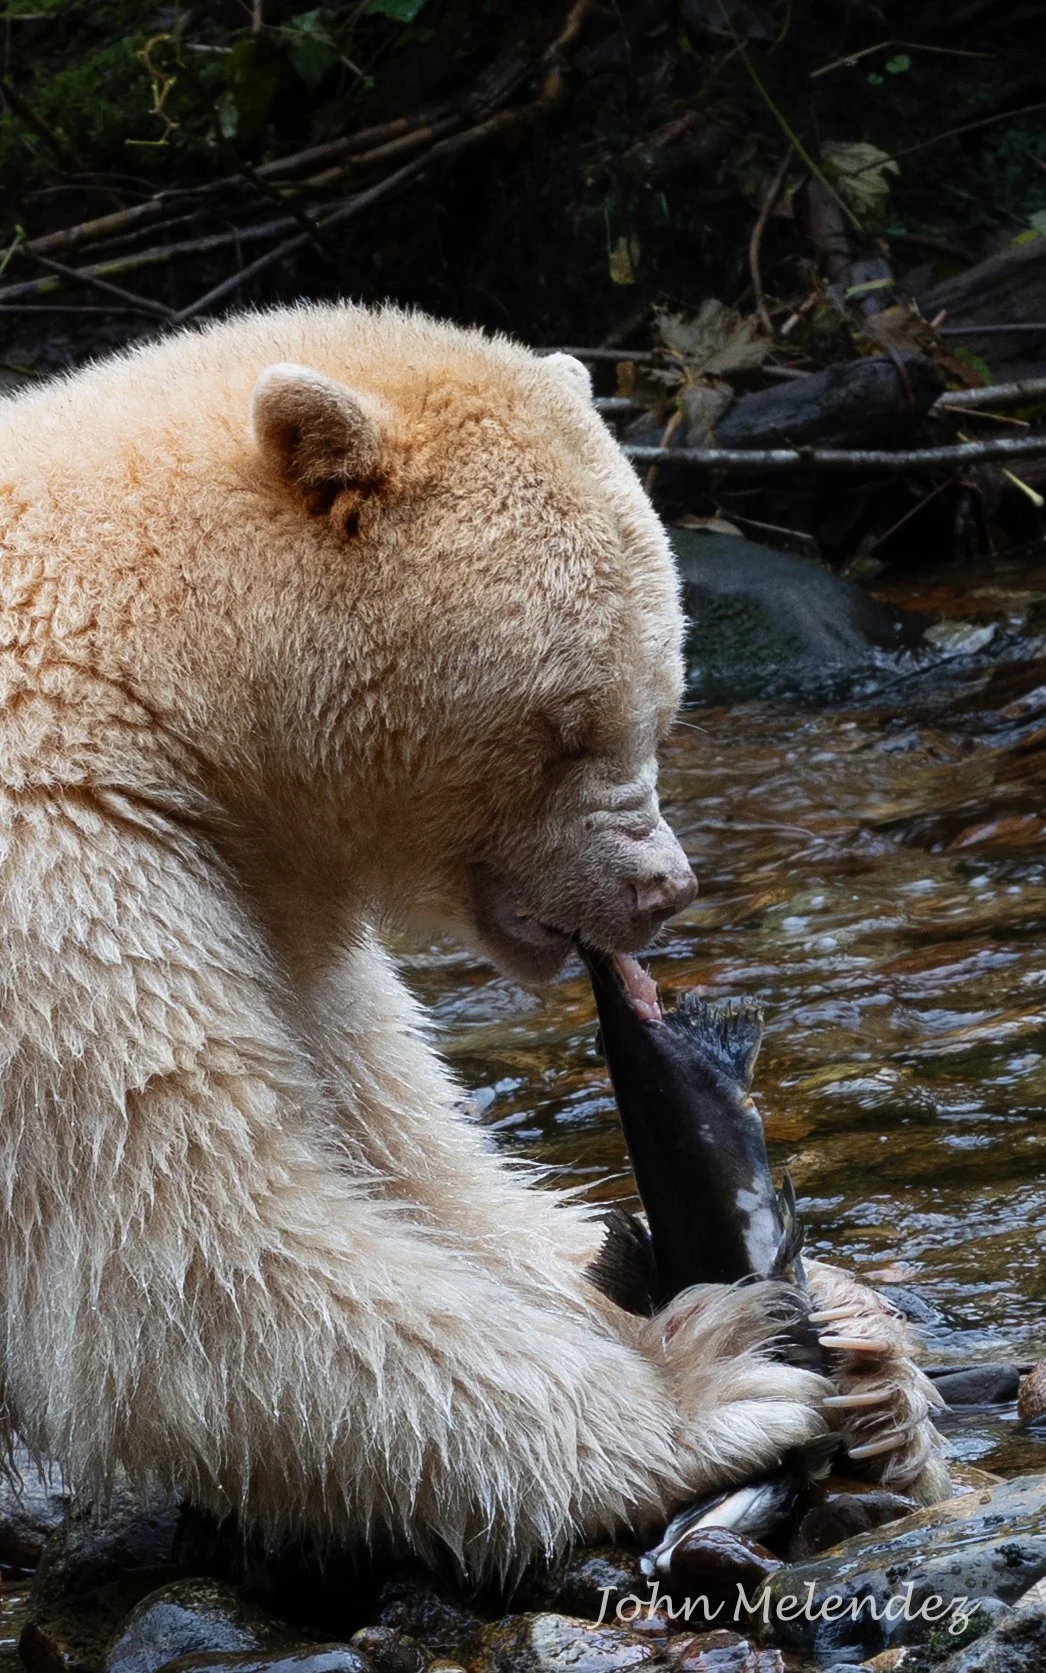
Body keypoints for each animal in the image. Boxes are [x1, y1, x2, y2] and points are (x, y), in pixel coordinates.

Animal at [0, 304, 947, 1581]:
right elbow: (188, 1260)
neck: (132, 654)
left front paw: (865, 1347)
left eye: (665, 696)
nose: (662, 889)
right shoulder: (56, 870)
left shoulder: (270, 891)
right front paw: (712, 1378)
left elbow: (418, 1169)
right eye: (565, 723)